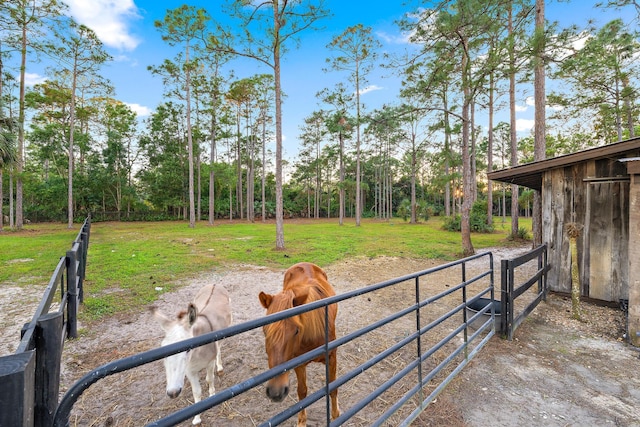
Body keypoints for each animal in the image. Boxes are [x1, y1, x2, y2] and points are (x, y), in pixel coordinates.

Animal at [258, 262, 342, 426]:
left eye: (296, 330)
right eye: (265, 330)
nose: (275, 391)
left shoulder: (332, 357)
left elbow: (333, 387)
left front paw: (336, 415)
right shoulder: (298, 363)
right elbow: (302, 392)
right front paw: (301, 421)